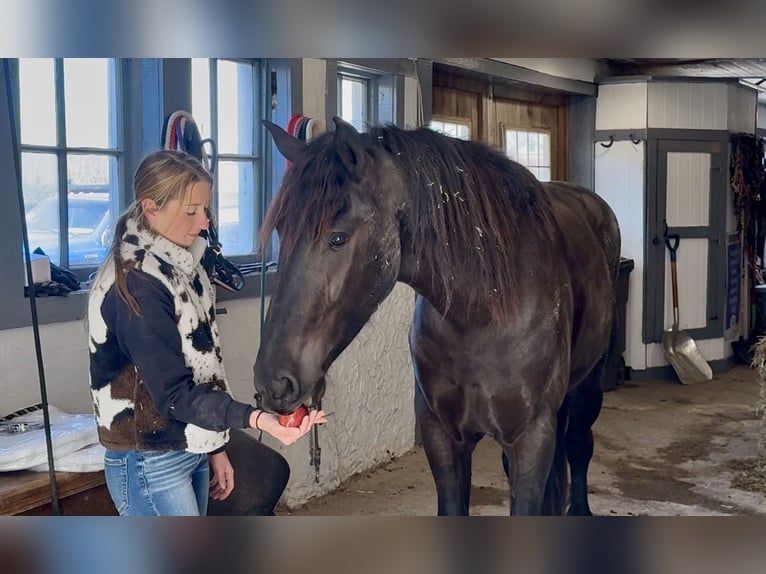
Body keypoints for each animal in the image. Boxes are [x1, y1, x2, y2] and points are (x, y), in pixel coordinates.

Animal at [254, 117, 621, 516]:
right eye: (281, 231)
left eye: (337, 238)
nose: (273, 382)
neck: (483, 315)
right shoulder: (442, 436)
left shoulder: (531, 438)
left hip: (588, 387)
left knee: (579, 446)